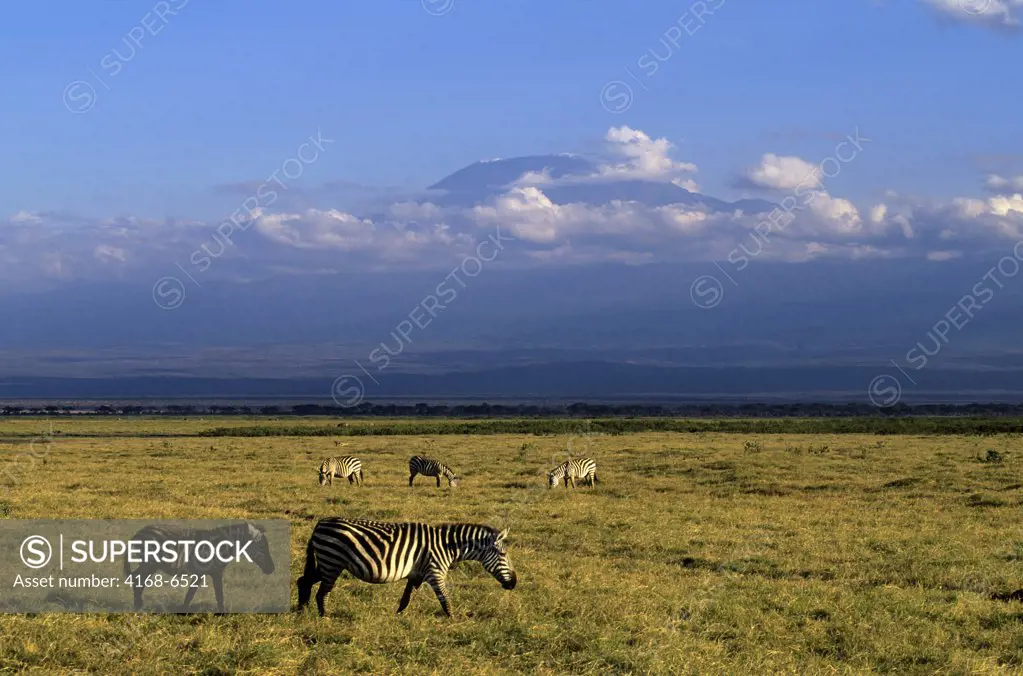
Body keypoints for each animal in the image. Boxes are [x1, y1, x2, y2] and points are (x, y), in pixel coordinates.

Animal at [122, 521, 276, 613]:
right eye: (262, 547)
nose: (272, 569)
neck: (219, 546)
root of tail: (140, 532)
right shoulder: (205, 573)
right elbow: (196, 595)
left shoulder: (214, 573)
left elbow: (216, 595)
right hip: (149, 563)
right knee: (137, 579)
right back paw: (137, 606)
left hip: (149, 565)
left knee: (138, 579)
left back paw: (139, 604)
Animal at [296, 517, 519, 617]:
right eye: (503, 555)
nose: (514, 583)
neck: (447, 546)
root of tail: (321, 522)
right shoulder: (435, 572)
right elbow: (444, 598)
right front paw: (454, 619)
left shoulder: (417, 574)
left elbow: (406, 597)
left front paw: (397, 616)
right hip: (332, 562)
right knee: (322, 592)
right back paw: (324, 616)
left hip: (328, 563)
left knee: (303, 581)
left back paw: (301, 611)